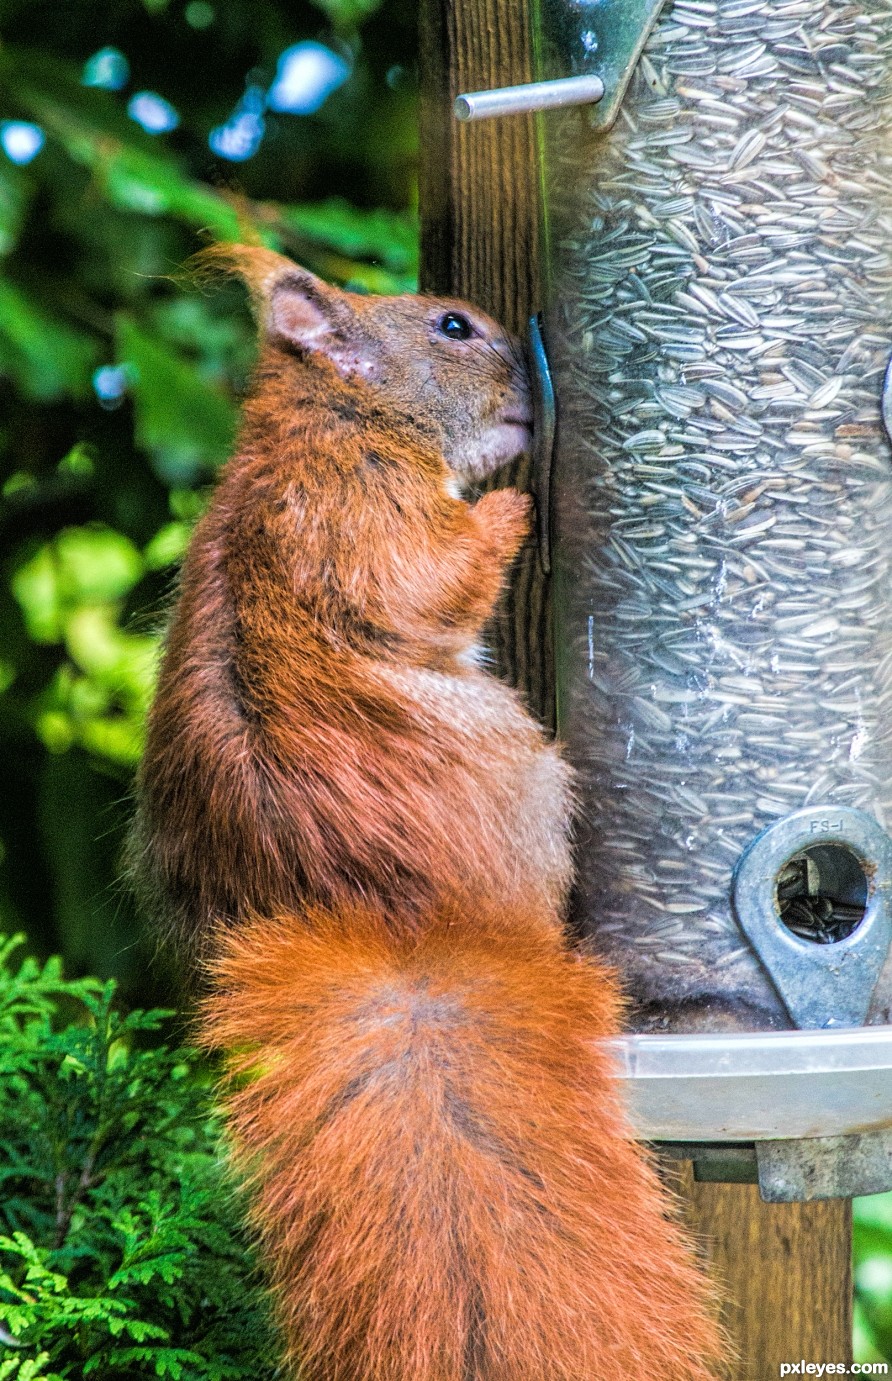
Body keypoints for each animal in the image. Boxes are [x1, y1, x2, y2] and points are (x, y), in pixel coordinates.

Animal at [129, 248, 723, 1381]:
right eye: (451, 326)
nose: (533, 385)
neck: (338, 415)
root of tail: (407, 925)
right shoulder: (365, 505)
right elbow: (432, 576)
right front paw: (511, 513)